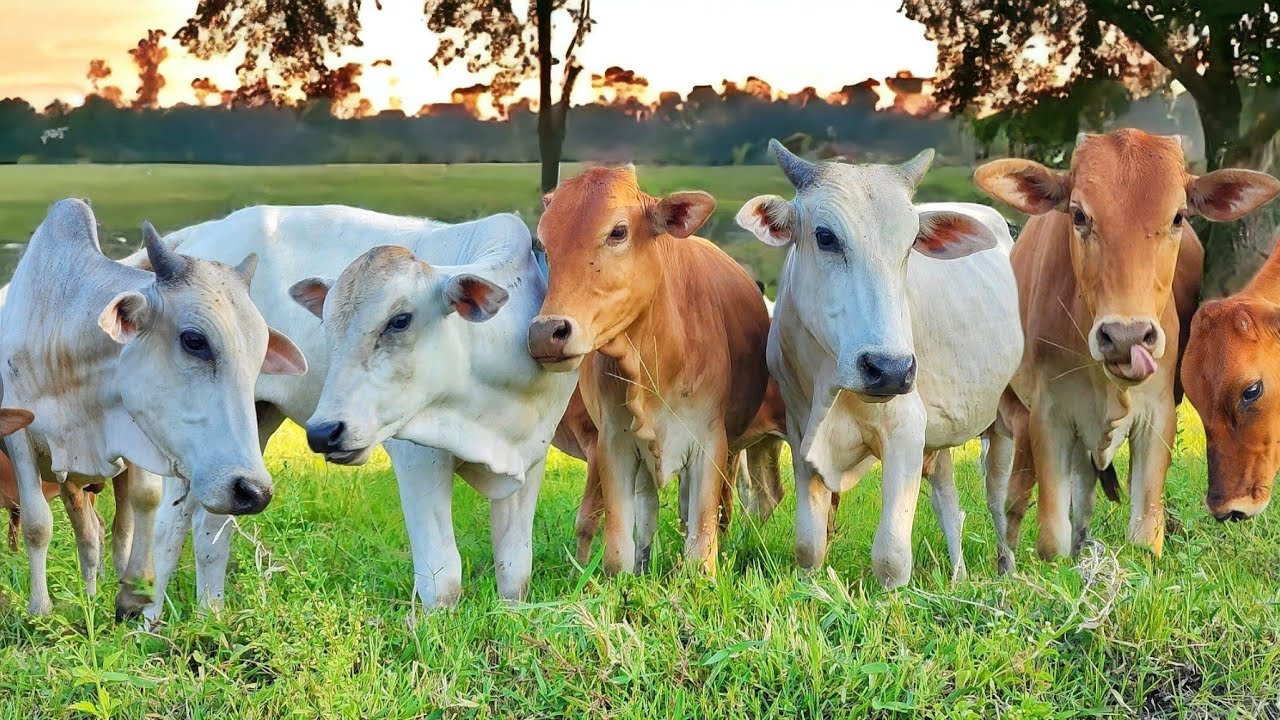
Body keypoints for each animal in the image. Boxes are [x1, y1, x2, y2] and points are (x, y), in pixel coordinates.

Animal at [0, 199, 306, 616]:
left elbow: (142, 505)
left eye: (260, 356)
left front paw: (135, 592)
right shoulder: (20, 440)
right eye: (194, 340)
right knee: (87, 534)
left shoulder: (138, 439)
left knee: (100, 532)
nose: (253, 491)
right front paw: (40, 610)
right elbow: (37, 524)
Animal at [527, 165, 775, 577]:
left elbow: (701, 543)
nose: (547, 333)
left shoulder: (710, 443)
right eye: (545, 244)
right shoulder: (613, 444)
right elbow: (616, 549)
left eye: (618, 231)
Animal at [736, 141, 1023, 587]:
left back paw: (1005, 568)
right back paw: (957, 575)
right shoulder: (801, 433)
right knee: (947, 498)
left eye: (911, 243)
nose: (889, 370)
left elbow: (891, 554)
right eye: (825, 236)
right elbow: (809, 544)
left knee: (996, 496)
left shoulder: (904, 429)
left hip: (1002, 419)